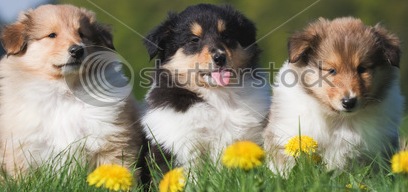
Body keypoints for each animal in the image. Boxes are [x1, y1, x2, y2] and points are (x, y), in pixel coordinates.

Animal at [0, 4, 143, 176]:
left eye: (82, 34)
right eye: (52, 35)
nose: (77, 50)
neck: (65, 91)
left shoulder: (111, 139)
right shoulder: (22, 148)